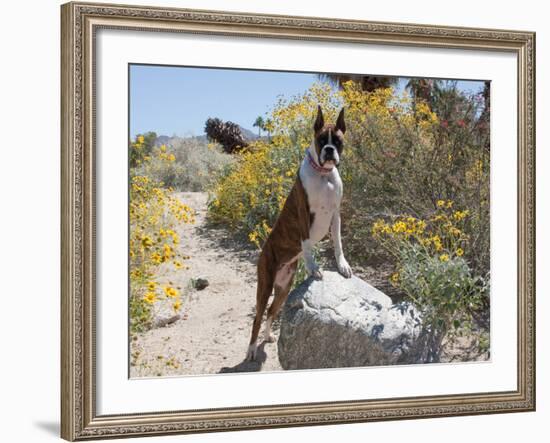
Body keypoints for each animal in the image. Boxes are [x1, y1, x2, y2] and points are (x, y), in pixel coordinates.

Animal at [247, 106, 354, 362]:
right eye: (321, 140)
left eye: (337, 141)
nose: (329, 150)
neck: (324, 175)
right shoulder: (304, 213)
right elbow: (306, 244)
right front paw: (313, 267)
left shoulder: (336, 215)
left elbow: (338, 243)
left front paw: (342, 265)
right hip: (264, 285)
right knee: (258, 316)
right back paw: (252, 349)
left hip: (284, 288)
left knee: (271, 312)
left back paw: (267, 337)